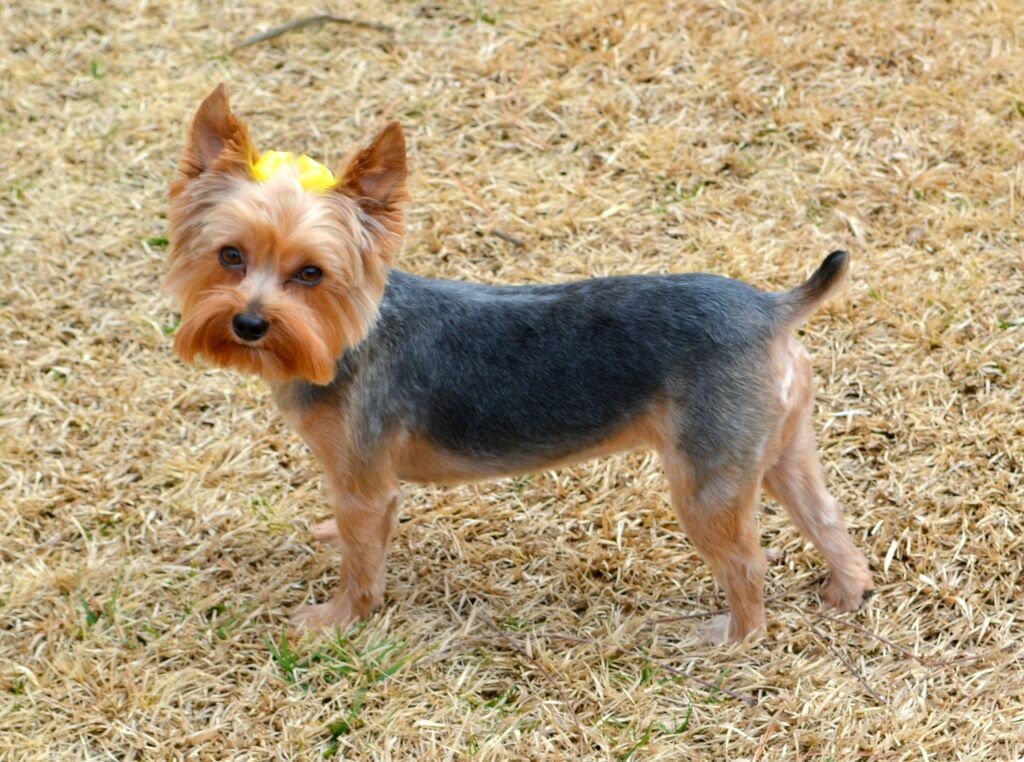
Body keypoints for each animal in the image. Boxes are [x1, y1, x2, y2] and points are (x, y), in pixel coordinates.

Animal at [165, 83, 872, 643]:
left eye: (311, 273)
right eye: (230, 256)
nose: (249, 324)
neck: (346, 339)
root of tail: (772, 309)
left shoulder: (366, 482)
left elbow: (362, 559)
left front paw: (336, 621)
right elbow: (353, 533)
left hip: (706, 477)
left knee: (746, 563)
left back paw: (731, 641)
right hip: (782, 446)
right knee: (828, 518)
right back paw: (847, 591)